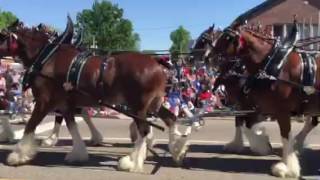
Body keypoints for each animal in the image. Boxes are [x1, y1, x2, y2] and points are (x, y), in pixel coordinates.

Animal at [0, 17, 188, 172]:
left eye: (2, 34)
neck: (48, 58)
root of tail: (157, 62)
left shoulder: (44, 101)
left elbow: (31, 125)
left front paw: (17, 155)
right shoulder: (66, 102)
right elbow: (72, 125)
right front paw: (78, 153)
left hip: (138, 106)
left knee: (144, 130)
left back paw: (132, 163)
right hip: (154, 103)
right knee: (170, 118)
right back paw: (177, 151)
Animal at [210, 17, 320, 178]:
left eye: (227, 37)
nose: (208, 57)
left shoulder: (279, 110)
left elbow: (284, 135)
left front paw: (287, 168)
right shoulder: (249, 105)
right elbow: (244, 124)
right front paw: (258, 143)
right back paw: (298, 144)